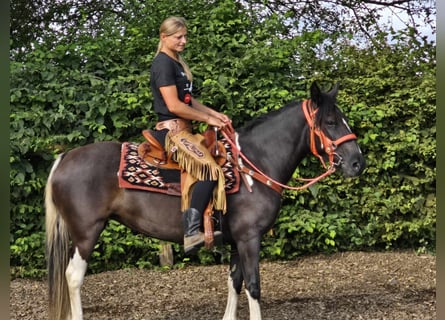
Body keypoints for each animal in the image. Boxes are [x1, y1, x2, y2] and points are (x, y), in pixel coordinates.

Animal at [45, 83, 364, 320]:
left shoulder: (236, 240)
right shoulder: (249, 238)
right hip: (86, 232)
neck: (255, 163)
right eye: (331, 122)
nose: (357, 163)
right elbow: (254, 285)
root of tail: (64, 158)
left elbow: (234, 282)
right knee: (73, 276)